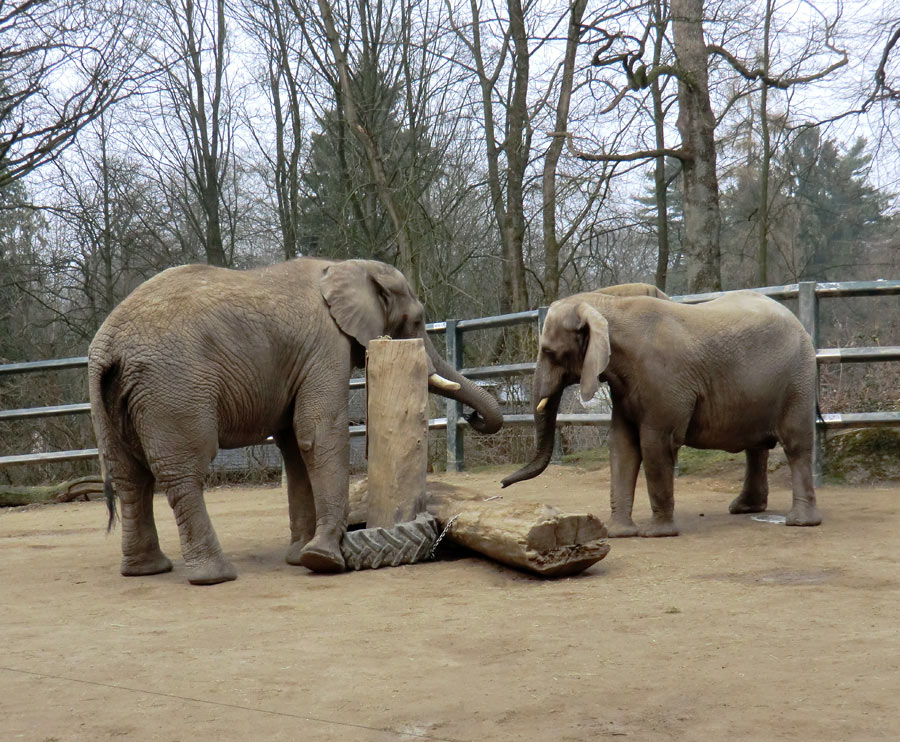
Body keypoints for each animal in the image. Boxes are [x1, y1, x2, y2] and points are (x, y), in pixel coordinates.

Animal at [500, 288, 824, 536]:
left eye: (549, 352)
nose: (501, 484)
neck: (606, 304)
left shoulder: (664, 382)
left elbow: (655, 443)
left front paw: (656, 533)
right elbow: (622, 445)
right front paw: (619, 533)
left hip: (797, 380)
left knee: (796, 445)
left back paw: (800, 522)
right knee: (756, 448)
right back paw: (744, 508)